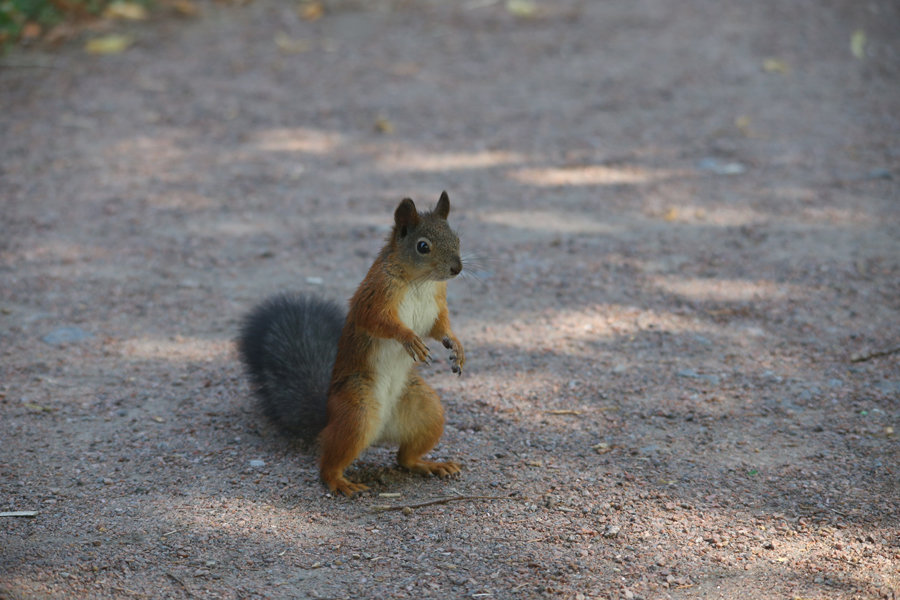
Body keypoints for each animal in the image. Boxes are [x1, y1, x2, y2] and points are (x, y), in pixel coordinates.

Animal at [239, 192, 464, 496]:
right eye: (423, 246)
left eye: (457, 238)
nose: (457, 268)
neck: (421, 282)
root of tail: (329, 414)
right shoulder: (376, 296)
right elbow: (380, 322)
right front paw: (409, 339)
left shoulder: (437, 305)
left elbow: (441, 328)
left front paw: (457, 347)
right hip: (357, 411)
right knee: (330, 459)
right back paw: (340, 482)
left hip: (426, 412)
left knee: (404, 458)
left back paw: (430, 464)